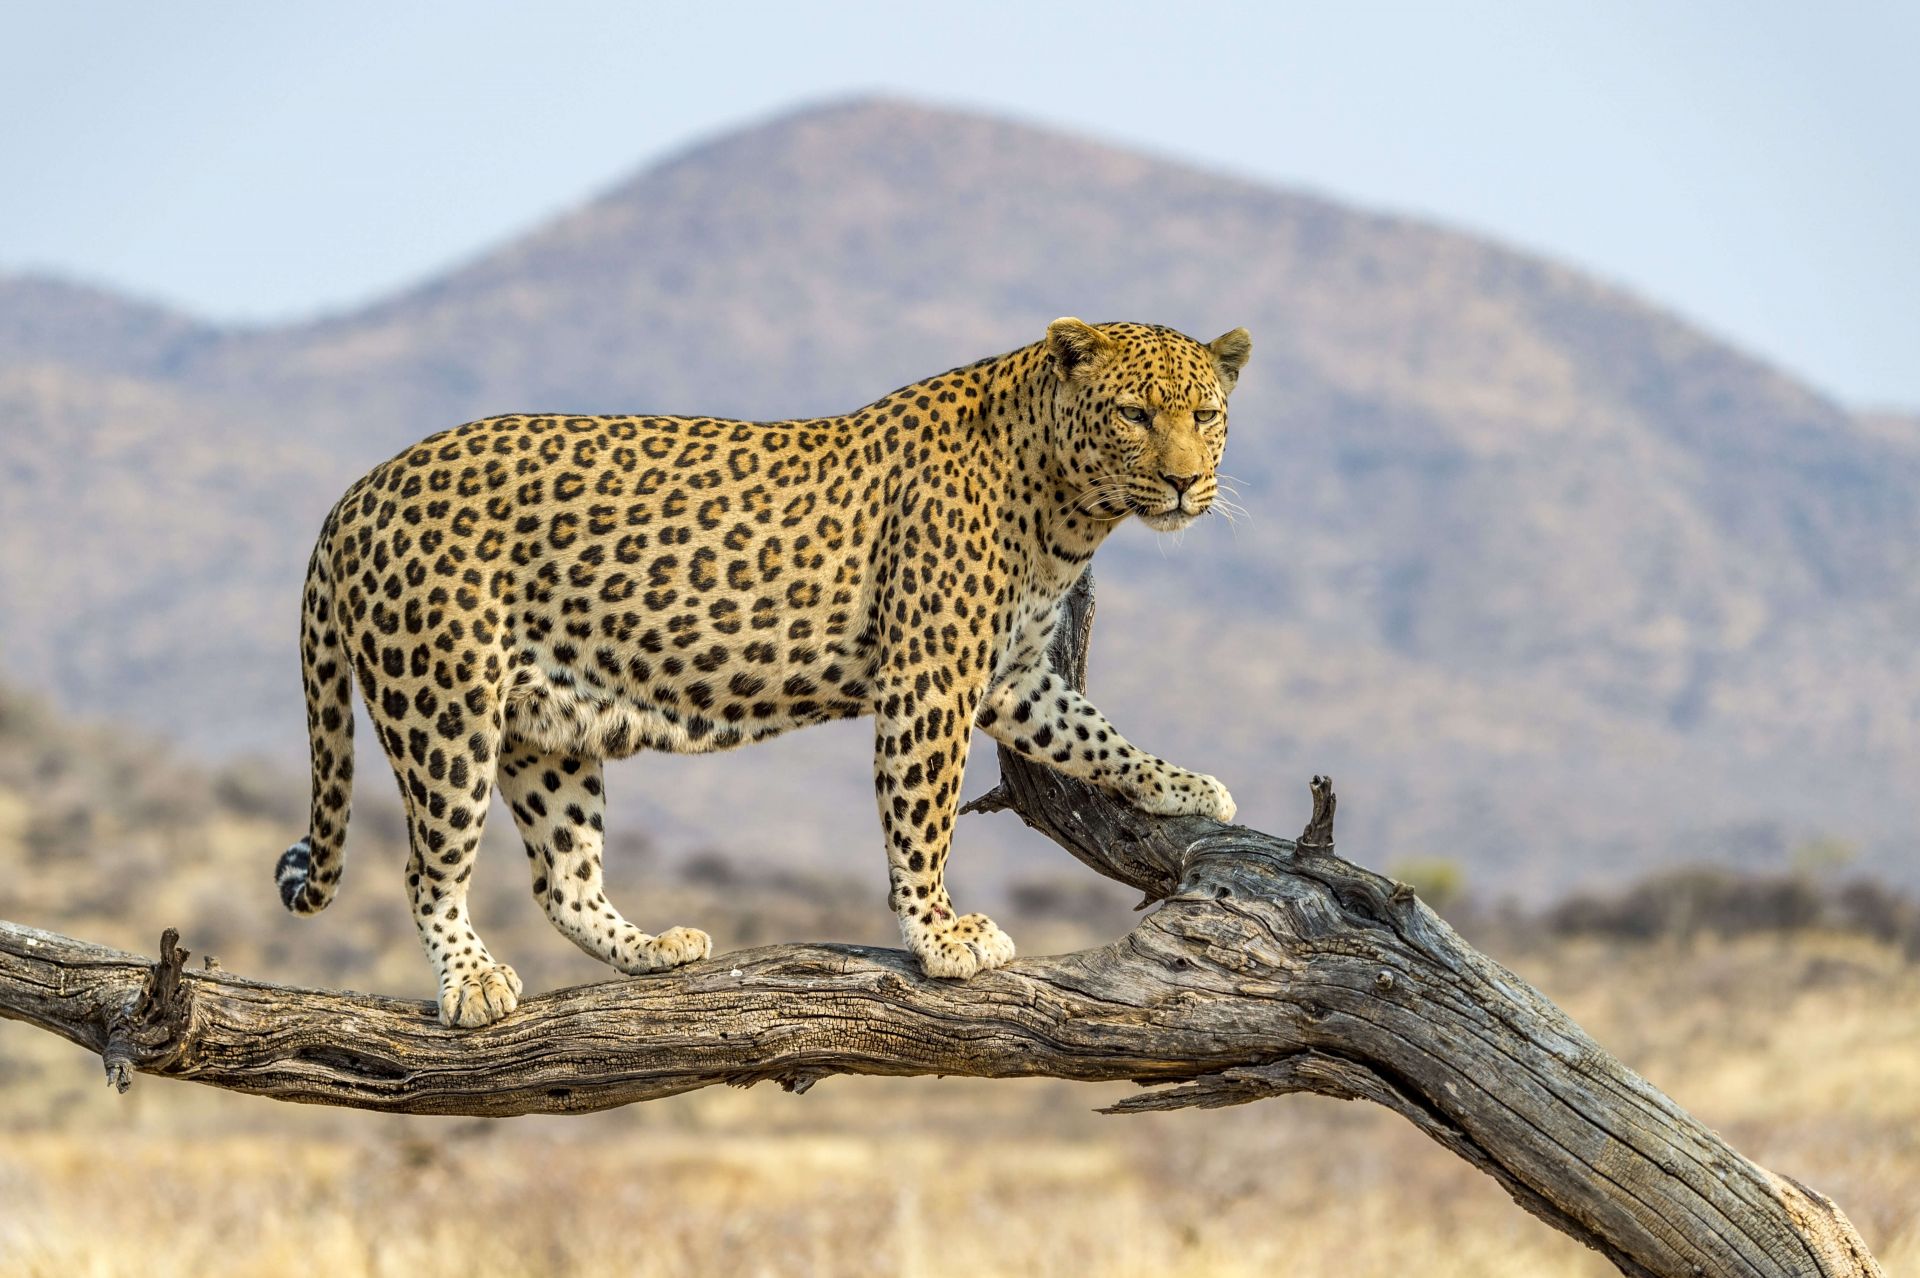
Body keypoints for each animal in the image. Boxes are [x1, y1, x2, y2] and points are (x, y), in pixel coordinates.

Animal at [275, 318, 1251, 1027]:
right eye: (1133, 414)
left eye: (1204, 417)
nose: (1183, 483)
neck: (1068, 511)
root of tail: (354, 493)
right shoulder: (930, 679)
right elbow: (923, 819)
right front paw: (939, 935)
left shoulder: (1010, 675)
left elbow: (1093, 733)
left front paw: (1184, 786)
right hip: (443, 708)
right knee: (428, 870)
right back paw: (472, 984)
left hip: (544, 730)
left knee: (564, 879)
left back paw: (651, 950)